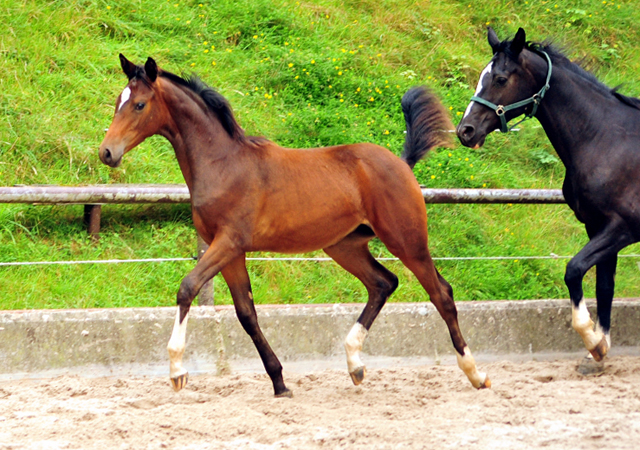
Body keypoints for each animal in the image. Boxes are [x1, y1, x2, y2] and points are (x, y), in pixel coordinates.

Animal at [100, 54, 490, 396]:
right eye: (119, 101)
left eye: (139, 105)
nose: (107, 153)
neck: (224, 164)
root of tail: (402, 163)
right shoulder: (230, 251)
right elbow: (246, 314)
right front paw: (279, 382)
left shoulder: (228, 242)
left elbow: (188, 288)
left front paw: (177, 371)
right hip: (344, 245)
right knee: (383, 282)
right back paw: (355, 365)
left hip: (406, 240)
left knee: (441, 294)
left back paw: (476, 374)